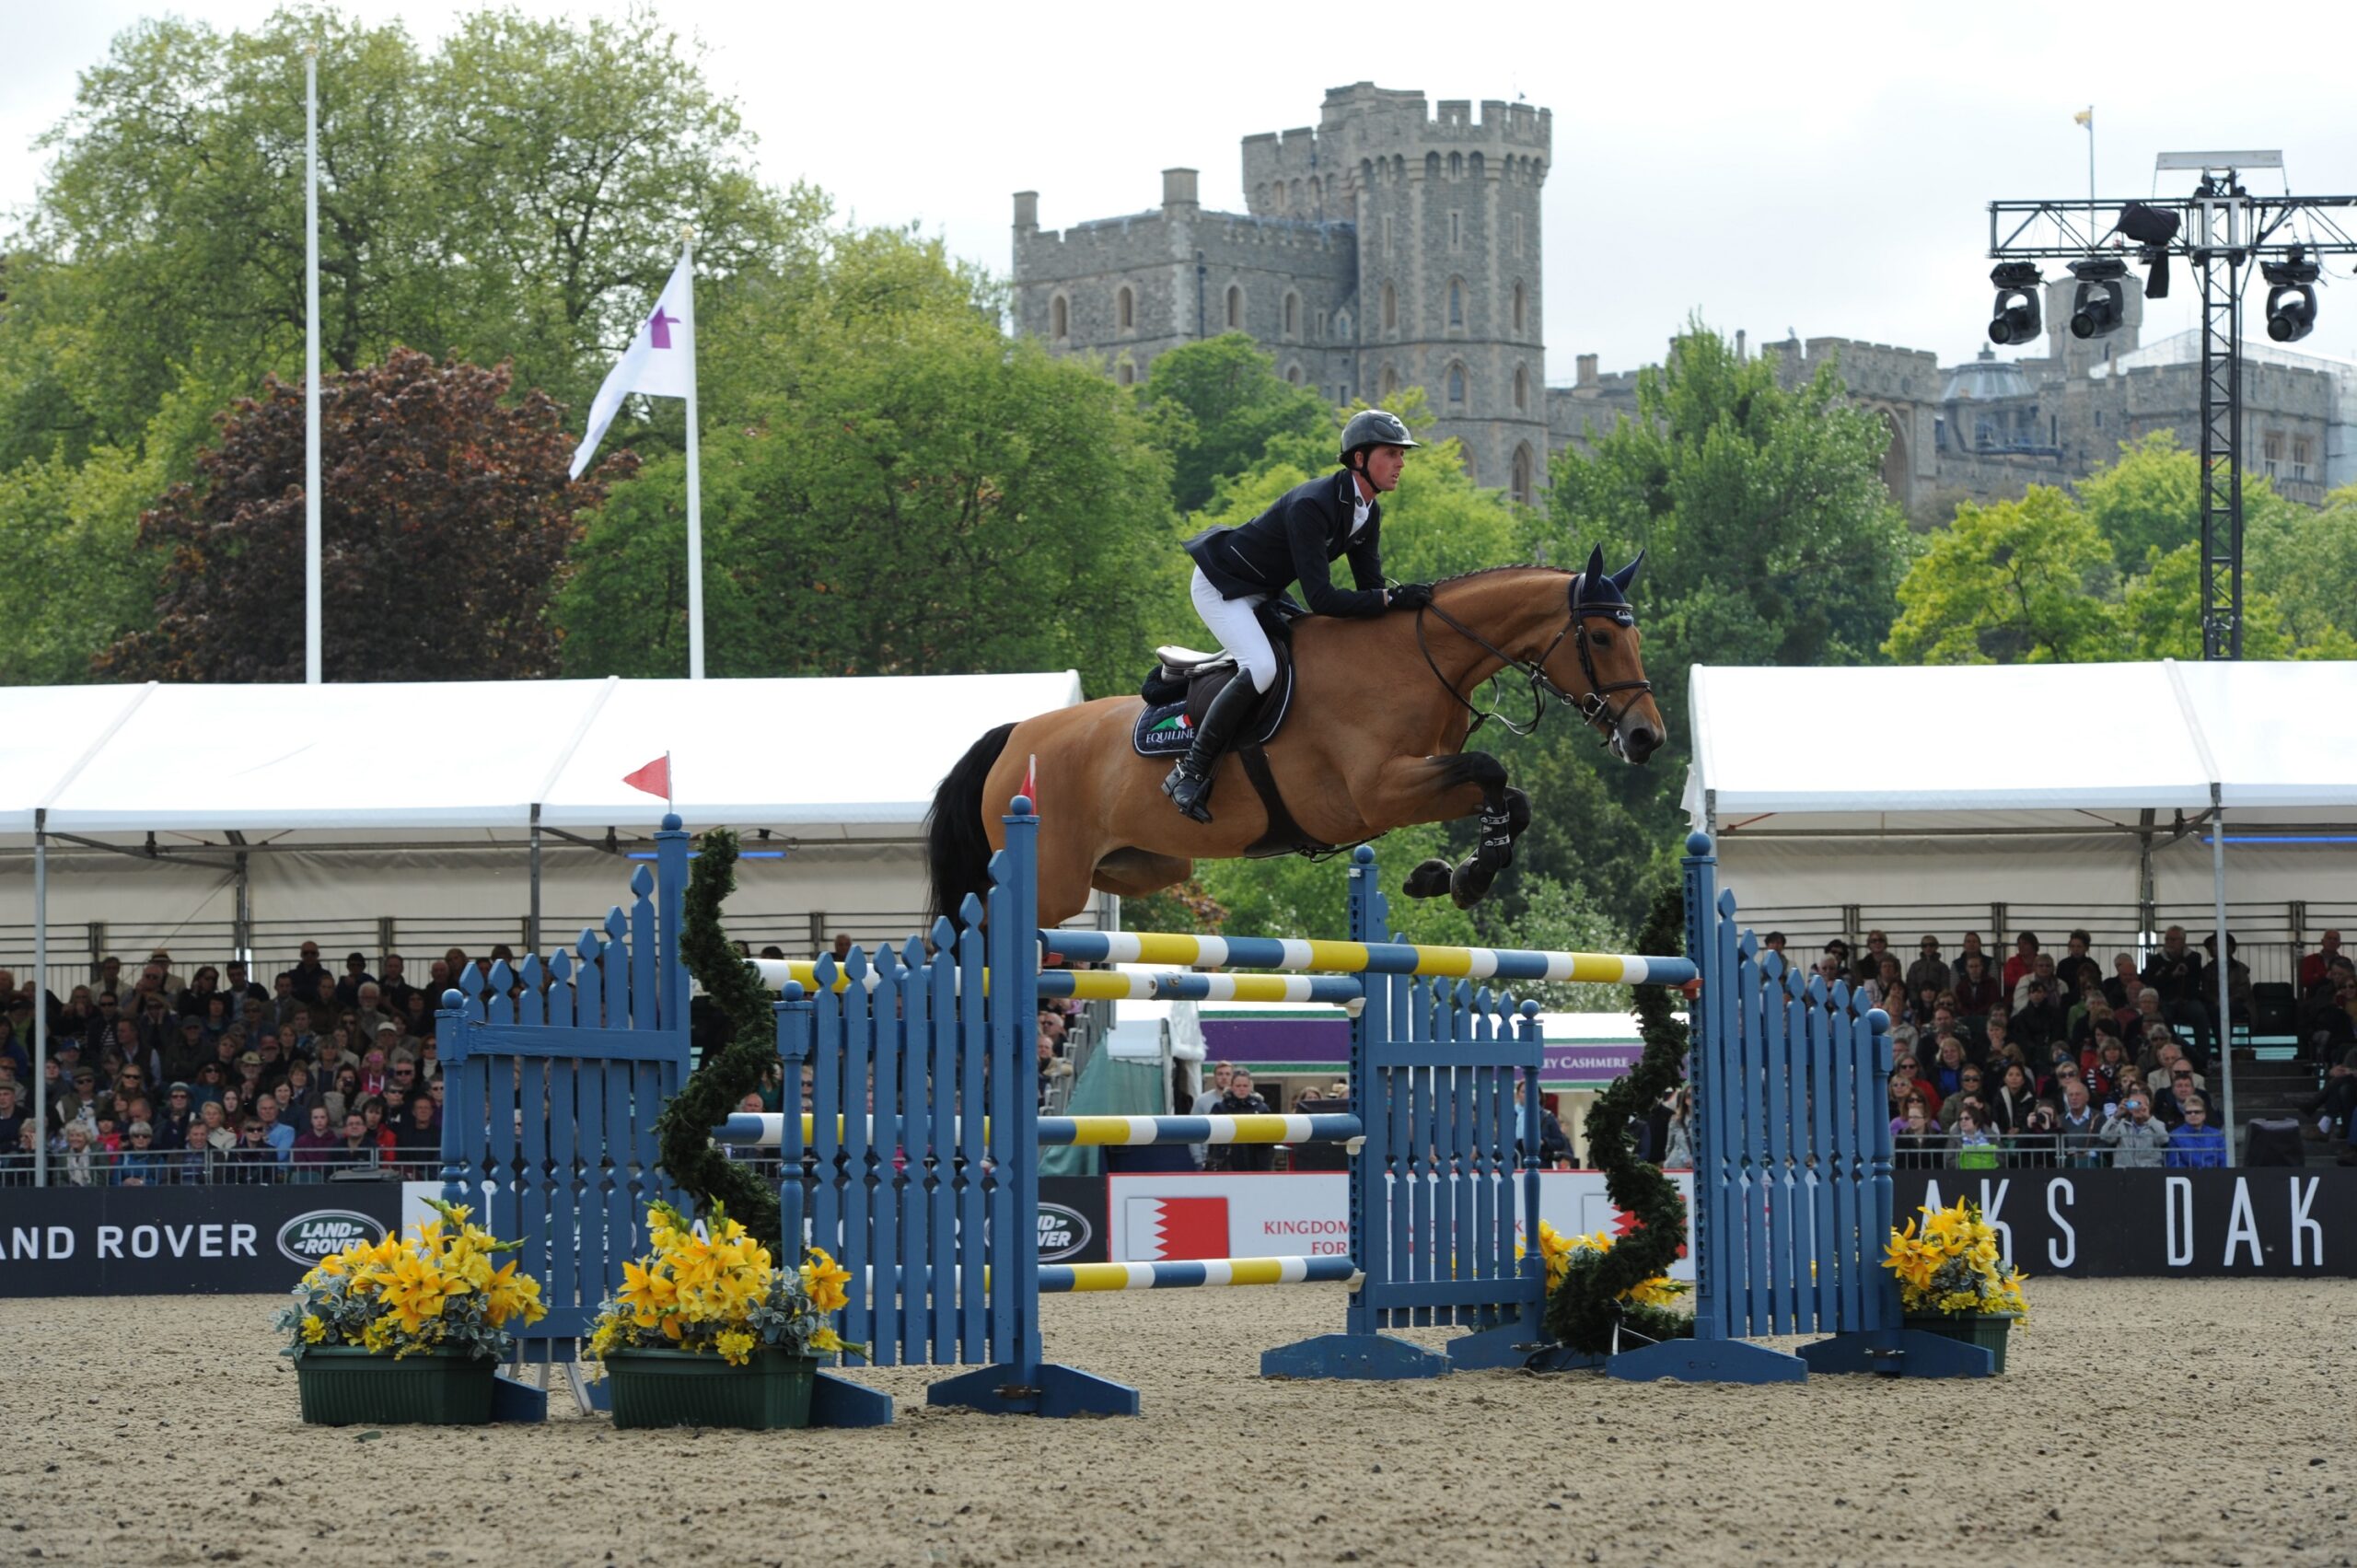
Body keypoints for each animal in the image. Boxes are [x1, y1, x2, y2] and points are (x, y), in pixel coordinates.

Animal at [928, 544, 1668, 923]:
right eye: (1603, 636)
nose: (1646, 738)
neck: (1415, 658)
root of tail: (1013, 735)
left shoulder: (1418, 781)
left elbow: (1511, 798)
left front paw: (1451, 875)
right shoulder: (1376, 793)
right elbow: (1491, 770)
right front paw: (1469, 875)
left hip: (1141, 866)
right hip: (1049, 881)